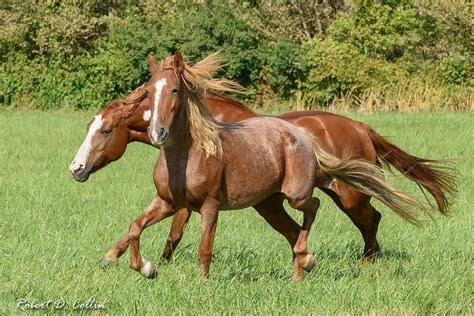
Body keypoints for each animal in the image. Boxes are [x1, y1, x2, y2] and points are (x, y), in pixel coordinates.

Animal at [68, 55, 458, 278]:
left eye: (105, 130)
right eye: (88, 125)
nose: (76, 168)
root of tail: (361, 127)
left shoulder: (195, 204)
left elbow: (175, 235)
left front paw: (130, 261)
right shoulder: (178, 200)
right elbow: (145, 229)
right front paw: (120, 260)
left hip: (348, 195)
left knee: (370, 220)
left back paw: (367, 263)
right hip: (273, 204)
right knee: (310, 229)